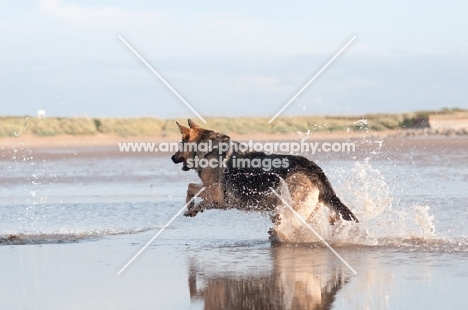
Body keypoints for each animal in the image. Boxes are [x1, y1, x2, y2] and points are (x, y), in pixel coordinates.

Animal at [172, 120, 358, 243]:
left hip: (291, 208)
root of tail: (314, 169)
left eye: (180, 143)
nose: (172, 157)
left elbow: (190, 187)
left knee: (286, 229)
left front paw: (190, 206)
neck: (208, 150)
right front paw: (193, 209)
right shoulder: (219, 200)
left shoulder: (215, 193)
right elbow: (199, 197)